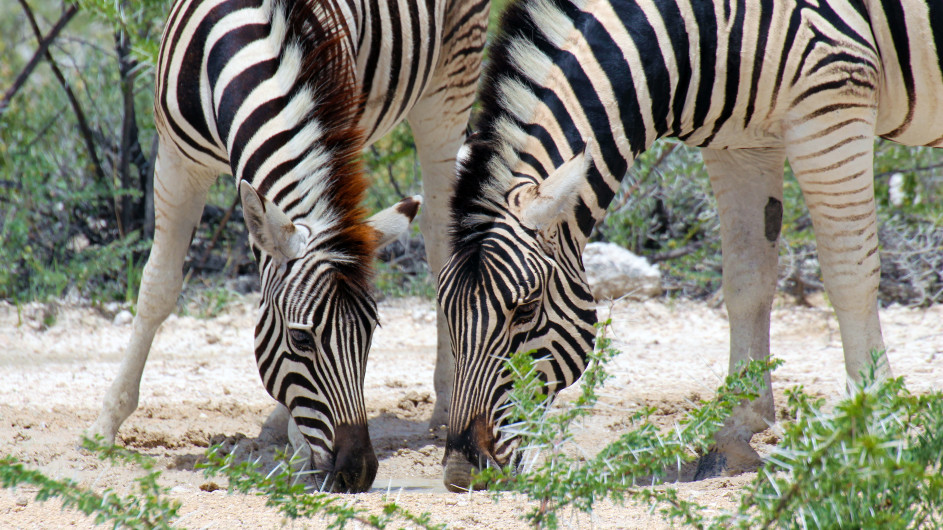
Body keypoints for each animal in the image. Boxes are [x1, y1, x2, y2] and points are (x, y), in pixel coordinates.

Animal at [86, 0, 494, 490]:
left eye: (370, 334)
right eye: (301, 338)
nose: (358, 471)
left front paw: (300, 446)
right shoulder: (177, 161)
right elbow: (158, 288)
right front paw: (108, 421)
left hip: (450, 82)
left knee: (439, 234)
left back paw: (445, 401)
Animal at [436, 0, 943, 488]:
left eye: (524, 309)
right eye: (445, 311)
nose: (462, 471)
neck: (701, 30)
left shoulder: (834, 101)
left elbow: (848, 276)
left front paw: (869, 423)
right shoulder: (741, 145)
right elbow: (746, 284)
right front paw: (734, 432)